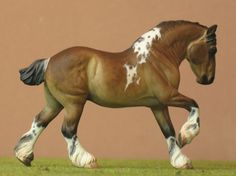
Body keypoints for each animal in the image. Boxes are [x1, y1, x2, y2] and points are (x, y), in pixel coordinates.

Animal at [14, 20, 218, 169]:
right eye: (213, 49)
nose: (207, 79)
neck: (157, 56)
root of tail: (50, 61)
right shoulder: (168, 96)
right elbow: (194, 105)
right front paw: (187, 135)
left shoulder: (158, 105)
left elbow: (168, 131)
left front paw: (180, 161)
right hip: (74, 103)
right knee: (68, 130)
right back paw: (87, 161)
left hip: (55, 103)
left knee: (39, 122)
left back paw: (24, 156)